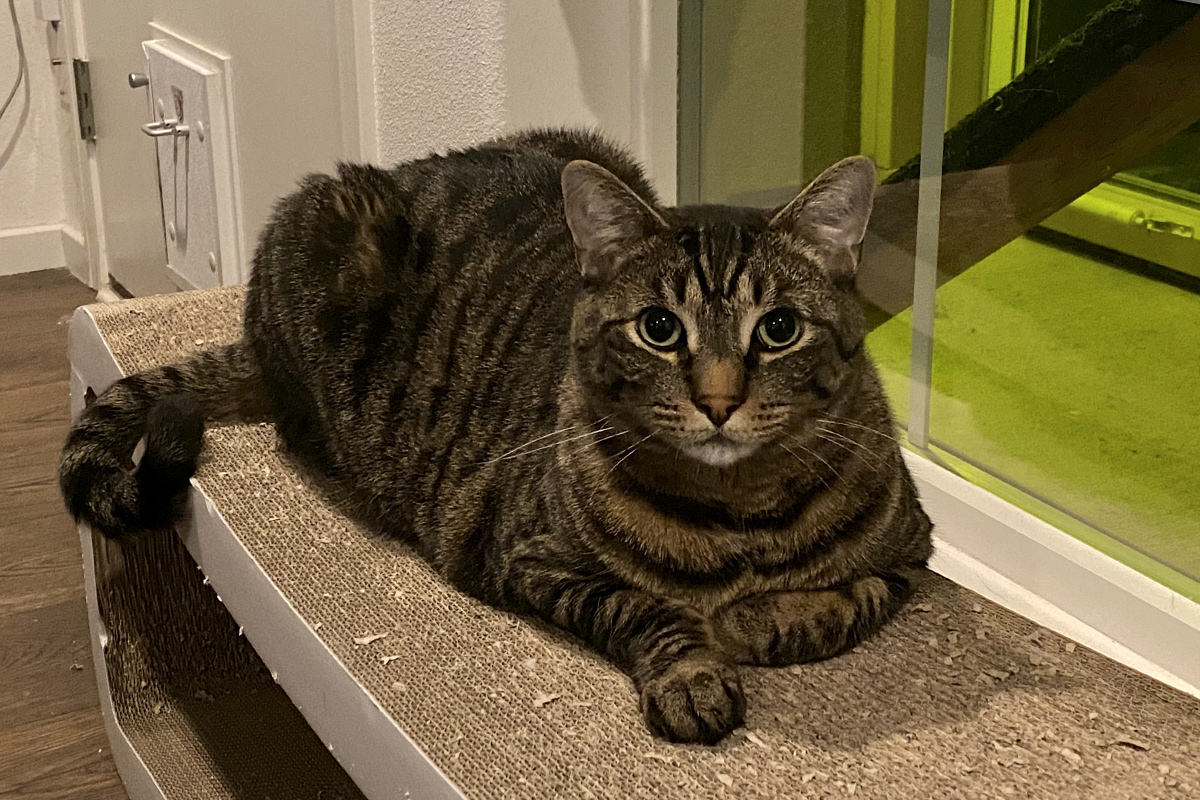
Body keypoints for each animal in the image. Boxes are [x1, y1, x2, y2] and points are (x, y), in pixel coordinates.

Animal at [60, 130, 931, 743]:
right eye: (659, 329)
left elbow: (846, 601)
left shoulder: (913, 553)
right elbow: (641, 608)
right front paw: (693, 670)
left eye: (779, 329)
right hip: (330, 231)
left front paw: (759, 619)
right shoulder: (526, 555)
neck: (736, 513)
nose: (719, 401)